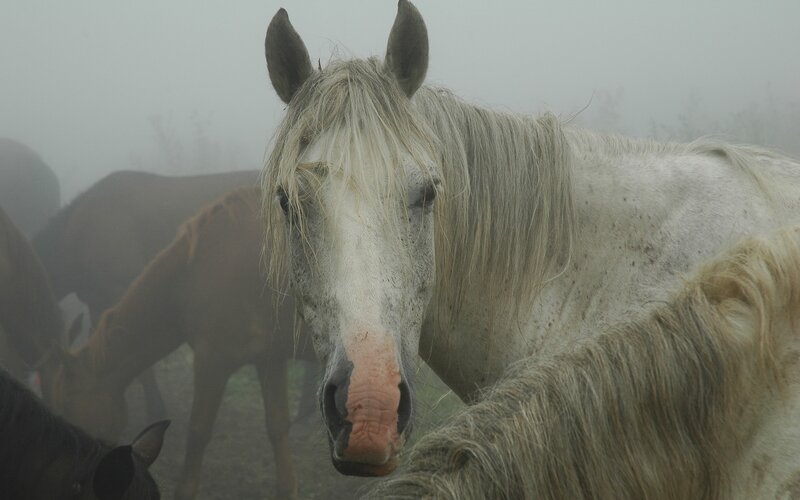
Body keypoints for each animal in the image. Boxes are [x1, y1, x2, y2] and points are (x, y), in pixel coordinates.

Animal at [51, 186, 313, 500]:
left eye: (67, 406)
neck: (193, 273)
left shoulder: (212, 360)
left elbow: (198, 432)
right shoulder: (269, 359)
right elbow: (277, 427)